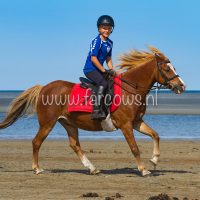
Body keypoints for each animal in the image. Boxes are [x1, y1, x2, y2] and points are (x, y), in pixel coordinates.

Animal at [0, 46, 186, 176]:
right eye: (167, 69)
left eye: (174, 67)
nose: (182, 86)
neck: (130, 90)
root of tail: (44, 87)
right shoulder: (126, 125)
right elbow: (134, 148)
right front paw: (143, 169)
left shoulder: (136, 122)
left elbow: (155, 135)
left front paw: (154, 160)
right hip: (47, 123)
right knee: (36, 142)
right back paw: (37, 169)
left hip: (69, 123)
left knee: (74, 145)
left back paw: (92, 168)